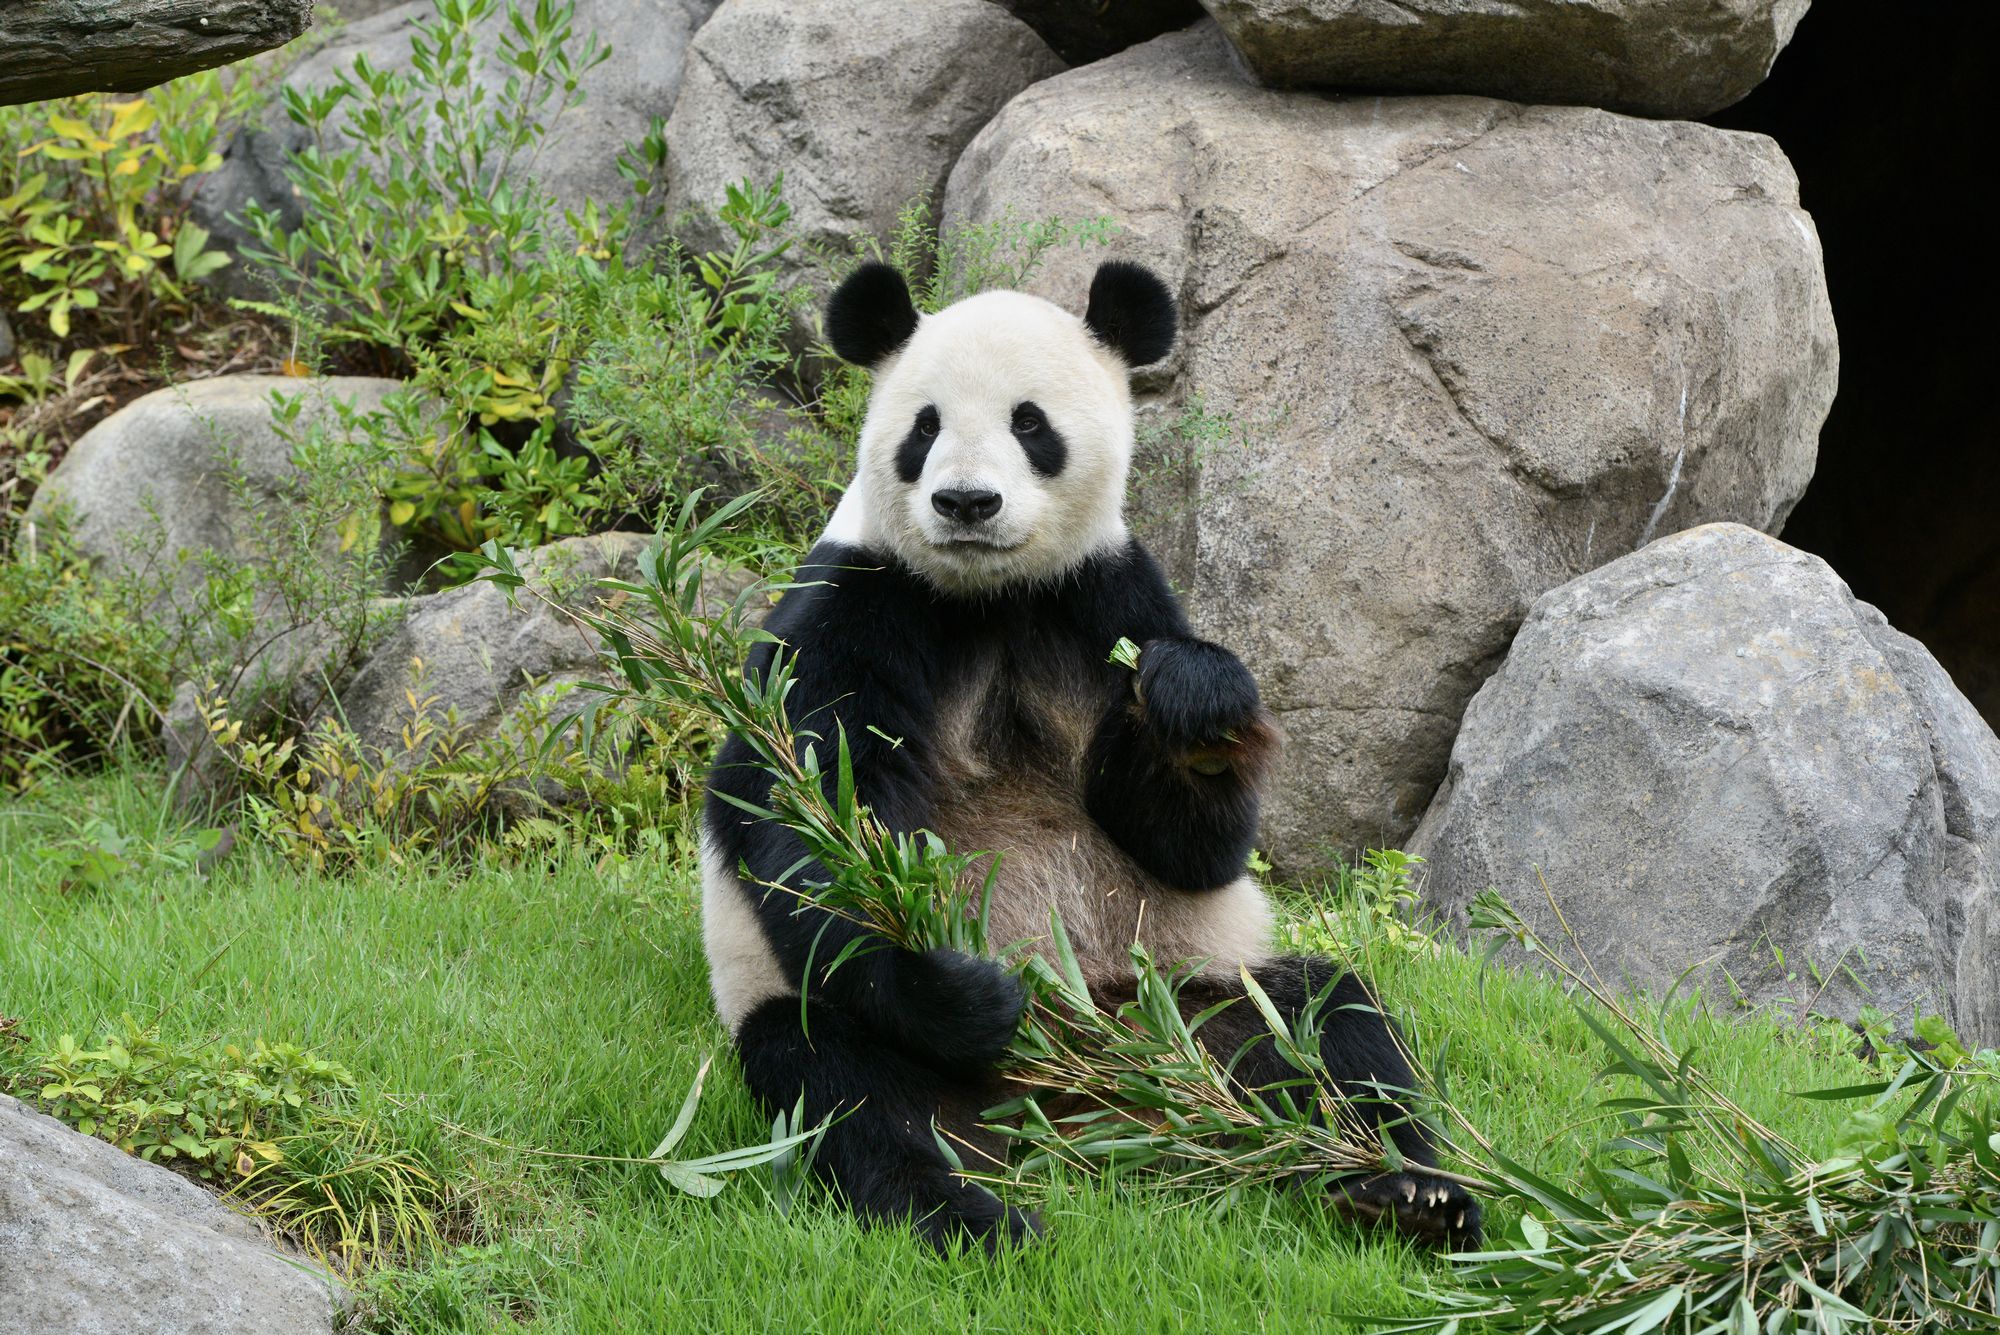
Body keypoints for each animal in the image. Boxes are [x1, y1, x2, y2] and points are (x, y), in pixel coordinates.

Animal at [708, 257, 1488, 1255]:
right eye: (924, 427)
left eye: (1029, 423)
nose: (966, 503)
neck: (990, 594)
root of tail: (1087, 1107)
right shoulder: (855, 608)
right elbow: (801, 818)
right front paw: (956, 986)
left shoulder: (1104, 598)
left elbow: (1194, 845)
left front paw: (1197, 706)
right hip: (855, 1034)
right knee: (844, 1084)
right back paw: (970, 1212)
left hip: (1190, 995)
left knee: (1326, 1023)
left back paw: (1406, 1189)